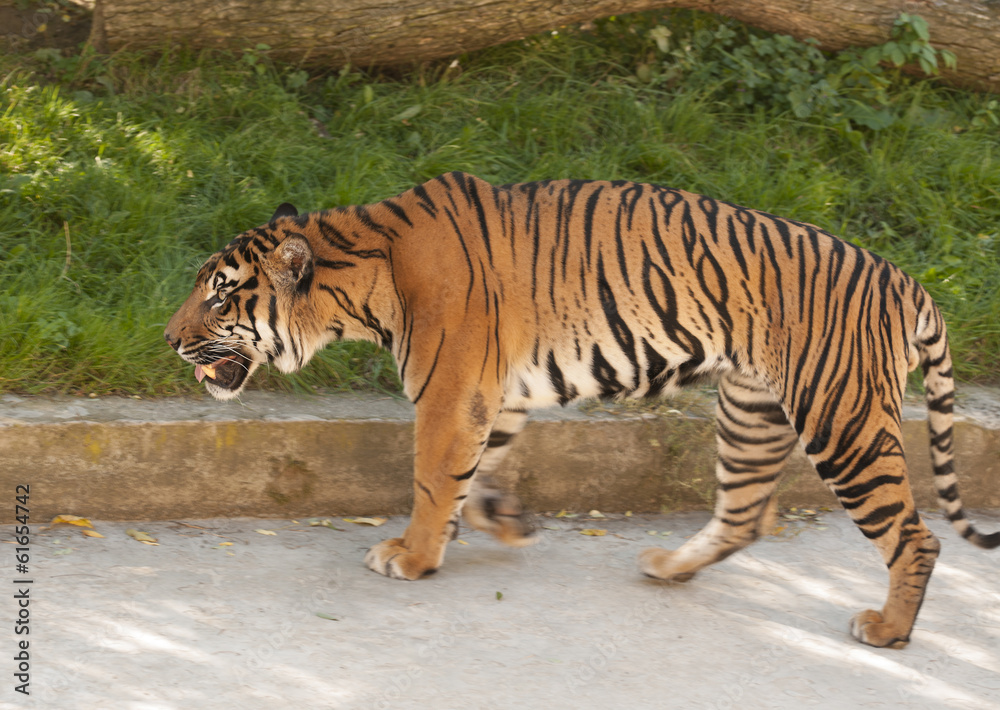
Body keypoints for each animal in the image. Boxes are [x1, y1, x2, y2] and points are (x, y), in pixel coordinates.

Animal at [165, 171, 998, 649]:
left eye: (219, 294)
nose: (170, 339)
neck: (362, 270)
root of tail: (905, 281)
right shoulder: (494, 390)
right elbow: (478, 472)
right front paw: (503, 522)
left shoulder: (451, 391)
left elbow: (433, 477)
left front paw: (412, 555)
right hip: (753, 413)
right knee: (745, 514)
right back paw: (667, 567)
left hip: (841, 418)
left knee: (914, 537)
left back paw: (886, 630)